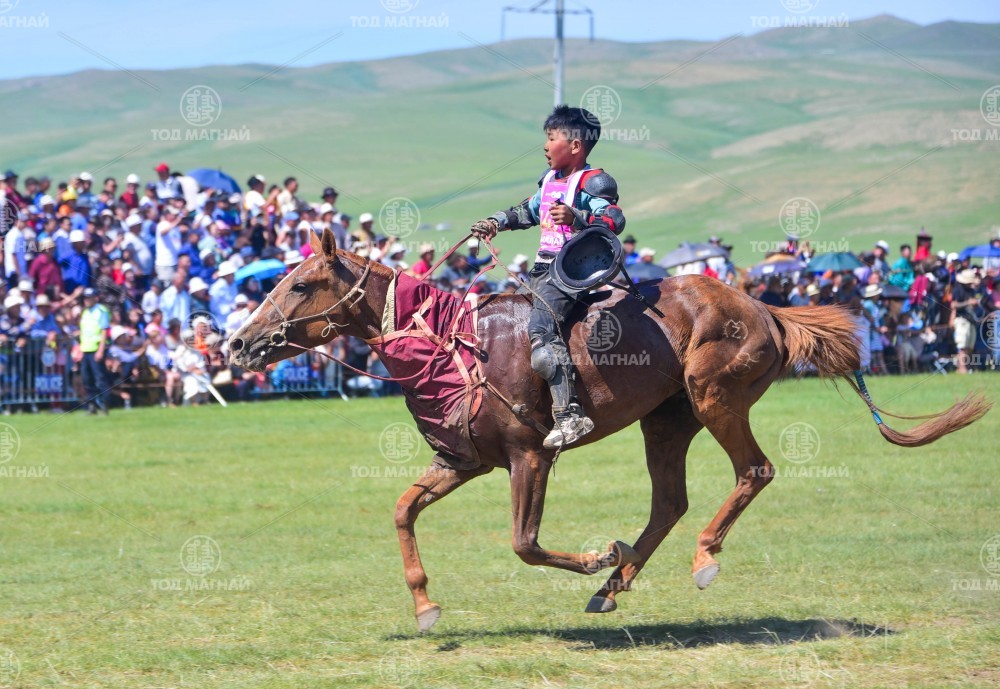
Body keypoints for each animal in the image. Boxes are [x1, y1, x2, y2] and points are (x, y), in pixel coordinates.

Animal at [229, 229, 990, 633]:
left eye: (300, 285)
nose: (238, 343)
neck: (453, 342)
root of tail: (765, 308)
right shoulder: (462, 460)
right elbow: (402, 509)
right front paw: (425, 603)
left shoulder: (529, 457)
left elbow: (525, 542)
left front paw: (595, 555)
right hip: (667, 419)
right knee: (669, 501)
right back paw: (618, 581)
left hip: (716, 398)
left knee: (753, 471)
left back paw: (696, 559)